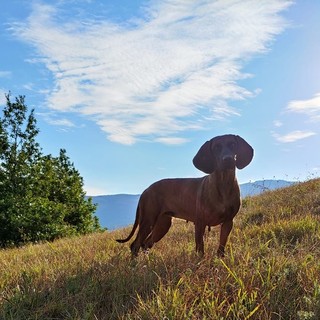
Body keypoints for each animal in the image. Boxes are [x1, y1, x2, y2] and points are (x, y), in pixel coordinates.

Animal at [116, 134, 254, 256]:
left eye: (233, 144)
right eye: (216, 147)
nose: (228, 159)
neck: (223, 184)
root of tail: (145, 190)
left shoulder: (228, 222)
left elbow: (221, 248)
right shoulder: (200, 222)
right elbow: (200, 249)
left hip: (162, 224)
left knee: (146, 243)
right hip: (148, 220)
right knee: (135, 245)